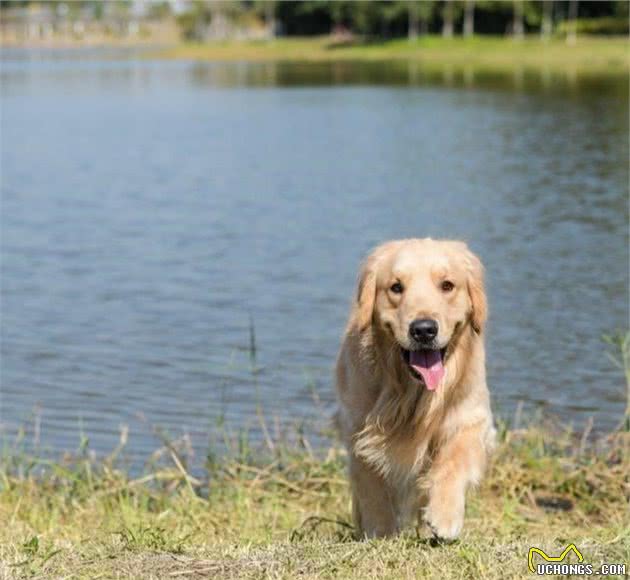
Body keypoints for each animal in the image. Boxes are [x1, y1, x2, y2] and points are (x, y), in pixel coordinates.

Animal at [338, 238, 496, 540]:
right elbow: (371, 480)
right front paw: (380, 529)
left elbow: (454, 460)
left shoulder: (472, 416)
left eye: (447, 285)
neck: (413, 393)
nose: (423, 330)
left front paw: (444, 515)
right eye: (396, 287)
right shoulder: (357, 425)